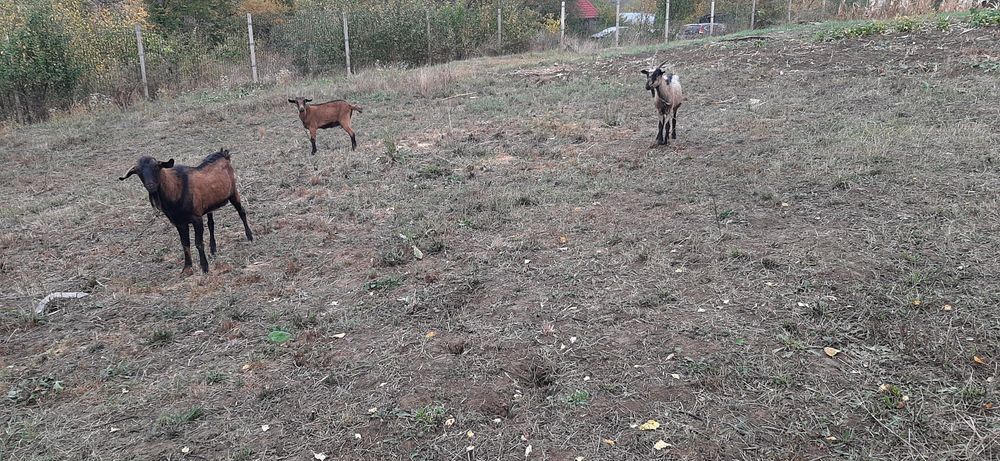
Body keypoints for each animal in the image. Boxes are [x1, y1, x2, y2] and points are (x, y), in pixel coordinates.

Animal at [119, 149, 253, 275]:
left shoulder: (196, 218)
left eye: (156, 166)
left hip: (233, 193)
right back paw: (213, 249)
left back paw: (250, 236)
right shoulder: (179, 223)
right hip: (209, 206)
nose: (150, 185)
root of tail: (223, 154)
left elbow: (198, 243)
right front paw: (186, 268)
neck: (176, 189)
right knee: (211, 223)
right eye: (138, 172)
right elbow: (185, 244)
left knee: (241, 212)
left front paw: (205, 267)